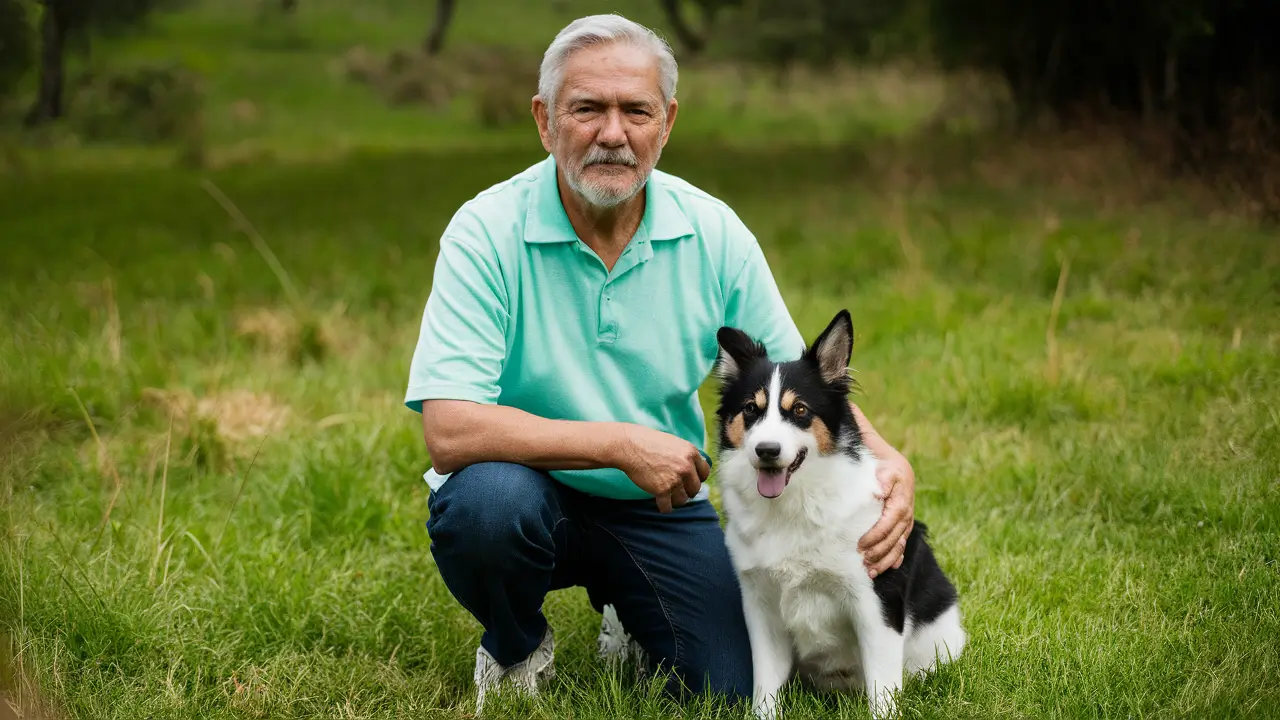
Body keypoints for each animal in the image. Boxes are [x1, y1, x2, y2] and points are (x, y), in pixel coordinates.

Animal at [711, 310, 962, 717]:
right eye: (751, 408)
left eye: (799, 410)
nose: (766, 450)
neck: (795, 503)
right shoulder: (761, 607)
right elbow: (765, 687)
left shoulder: (875, 603)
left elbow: (883, 689)